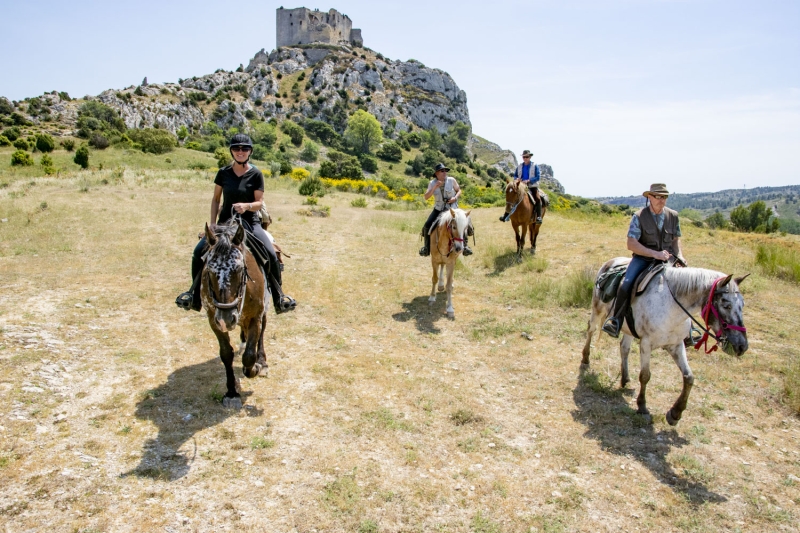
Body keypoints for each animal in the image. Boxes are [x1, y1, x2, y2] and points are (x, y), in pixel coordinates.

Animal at [202, 220, 270, 408]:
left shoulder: (255, 316)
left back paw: (262, 362)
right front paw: (232, 392)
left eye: (239, 269)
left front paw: (255, 367)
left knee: (261, 334)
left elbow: (249, 356)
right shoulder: (213, 320)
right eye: (209, 271)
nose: (226, 319)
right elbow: (226, 354)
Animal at [584, 256, 748, 424]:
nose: (742, 346)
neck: (672, 308)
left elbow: (689, 377)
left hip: (628, 327)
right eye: (726, 305)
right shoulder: (646, 343)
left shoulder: (676, 345)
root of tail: (612, 261)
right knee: (591, 330)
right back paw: (585, 359)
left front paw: (675, 413)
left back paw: (625, 378)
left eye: (742, 305)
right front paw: (642, 406)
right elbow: (645, 375)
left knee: (624, 348)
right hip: (597, 309)